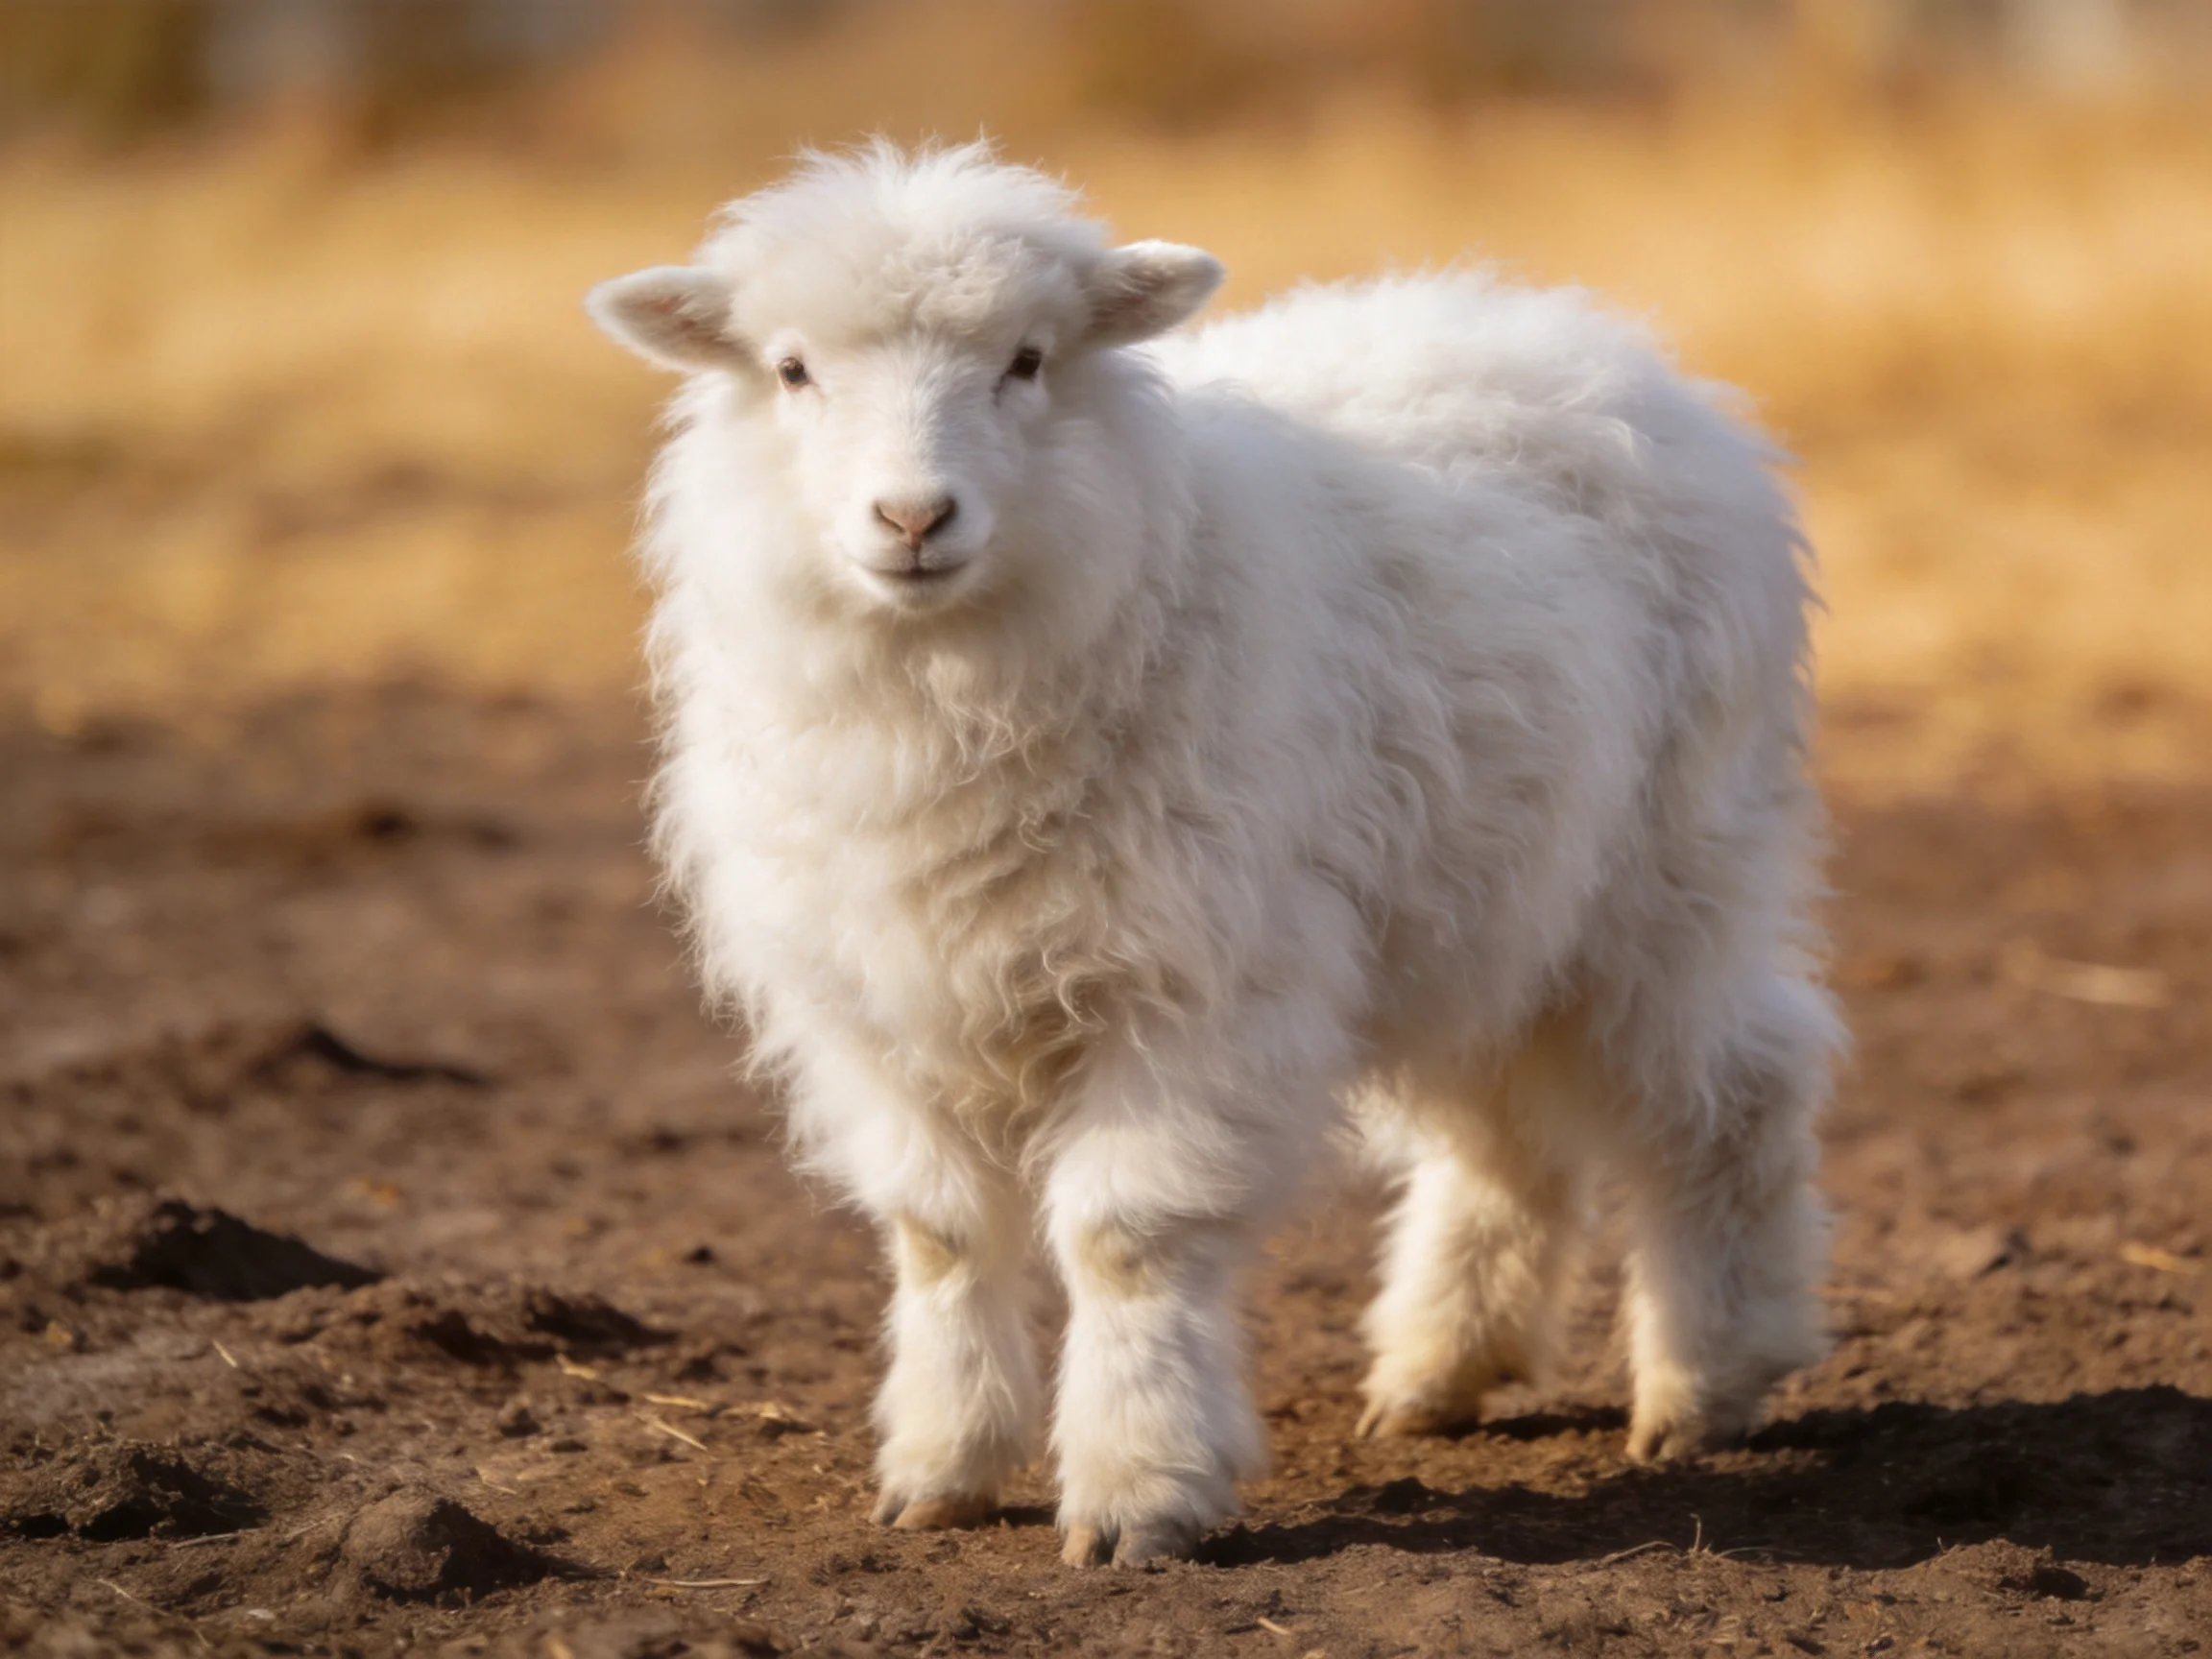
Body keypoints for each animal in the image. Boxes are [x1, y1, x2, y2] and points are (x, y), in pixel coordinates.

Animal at [587, 140, 1841, 1568]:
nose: (912, 517)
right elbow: (941, 1234)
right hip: (1480, 886)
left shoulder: (1194, 985)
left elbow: (1128, 1240)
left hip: (1678, 864)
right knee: (1503, 1130)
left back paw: (1709, 1381)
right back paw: (1444, 1368)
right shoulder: (879, 1005)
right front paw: (942, 1470)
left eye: (1029, 361)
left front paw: (1138, 1492)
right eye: (792, 370)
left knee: (1736, 1088)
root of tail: (1588, 333)